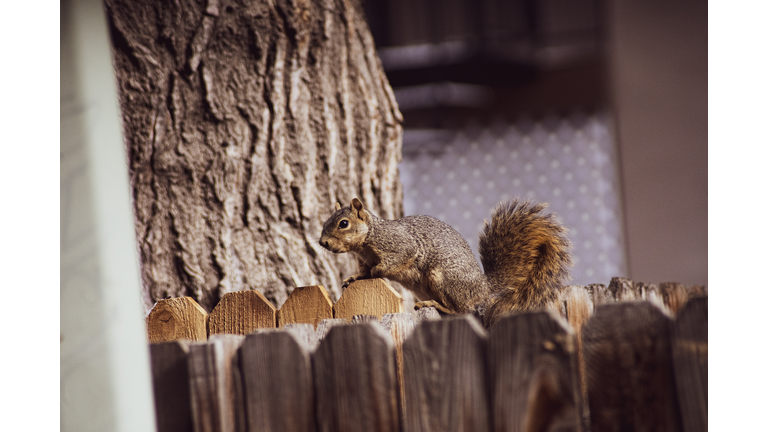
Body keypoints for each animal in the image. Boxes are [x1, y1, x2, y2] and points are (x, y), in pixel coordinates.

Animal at [318, 197, 568, 326]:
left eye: (343, 223)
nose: (322, 242)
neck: (367, 240)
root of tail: (483, 286)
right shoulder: (363, 259)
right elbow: (362, 271)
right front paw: (353, 277)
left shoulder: (400, 246)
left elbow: (391, 262)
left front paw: (376, 272)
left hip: (442, 277)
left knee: (461, 309)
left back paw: (436, 305)